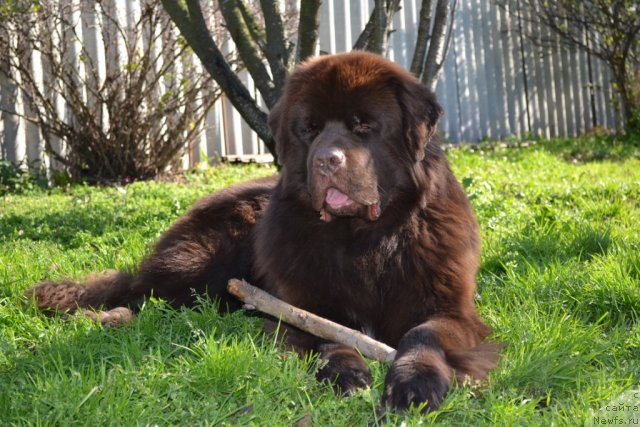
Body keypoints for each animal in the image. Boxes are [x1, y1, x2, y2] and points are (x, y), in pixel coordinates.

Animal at [30, 51, 500, 412]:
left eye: (364, 125)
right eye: (310, 129)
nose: (326, 160)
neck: (362, 238)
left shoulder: (451, 308)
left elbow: (422, 333)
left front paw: (413, 384)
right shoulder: (304, 306)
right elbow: (328, 336)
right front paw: (346, 372)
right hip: (199, 266)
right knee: (140, 293)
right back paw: (106, 317)